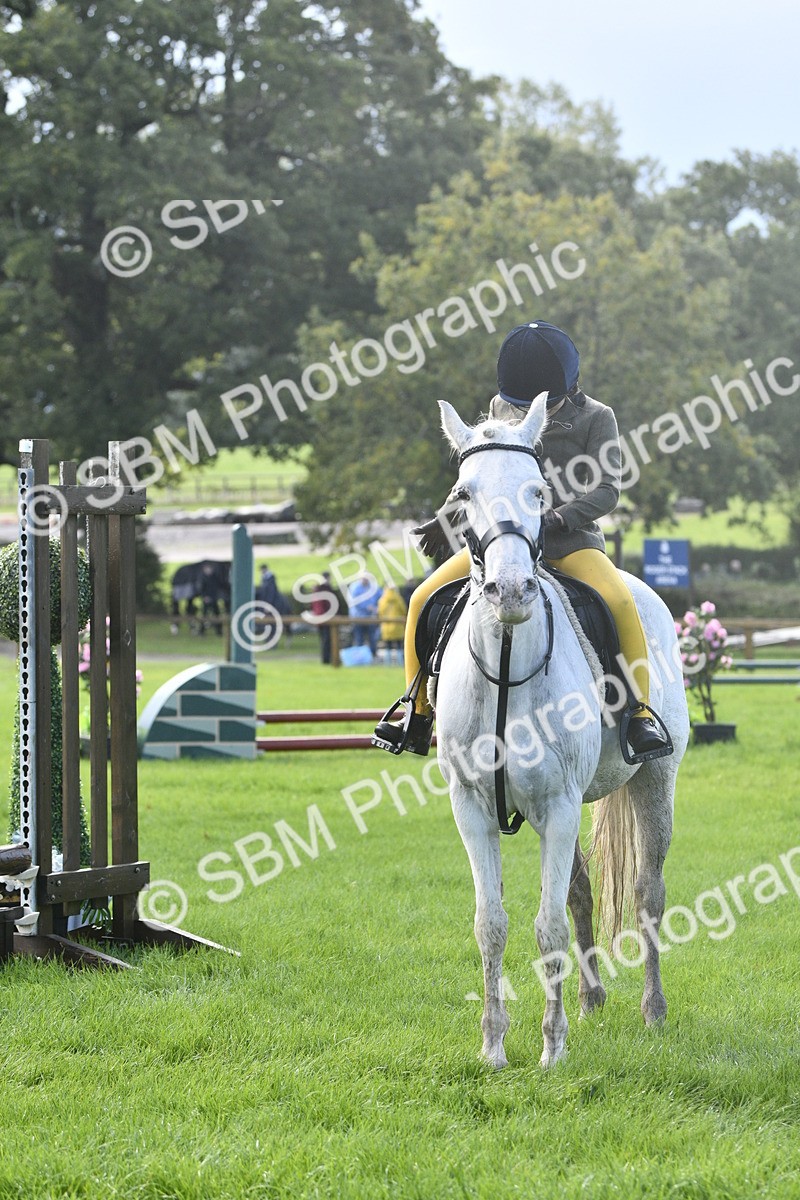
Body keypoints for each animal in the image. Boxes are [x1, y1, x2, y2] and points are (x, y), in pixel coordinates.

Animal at [433, 395, 690, 1070]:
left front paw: (552, 1048)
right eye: (463, 493)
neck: (507, 662)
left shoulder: (559, 801)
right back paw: (591, 996)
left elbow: (545, 924)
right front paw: (494, 1046)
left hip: (653, 781)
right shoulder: (472, 805)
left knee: (648, 893)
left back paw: (654, 1011)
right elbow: (492, 923)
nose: (511, 590)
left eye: (539, 491)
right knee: (580, 893)